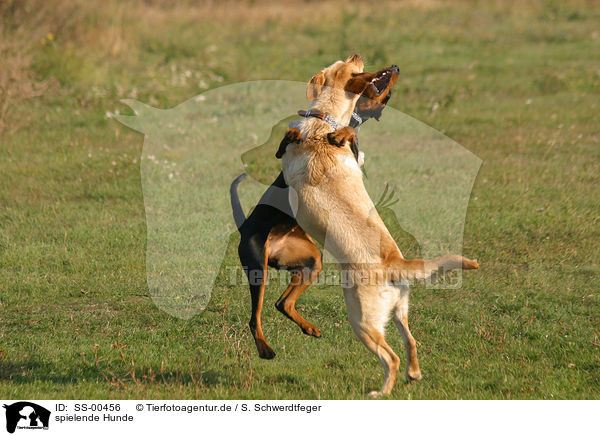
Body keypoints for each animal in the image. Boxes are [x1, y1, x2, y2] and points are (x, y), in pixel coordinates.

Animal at [230, 63, 398, 358]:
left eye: (387, 96)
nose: (396, 67)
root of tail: (244, 228)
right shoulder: (284, 152)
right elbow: (290, 138)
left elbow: (350, 134)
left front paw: (342, 134)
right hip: (257, 269)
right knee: (256, 316)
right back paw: (265, 347)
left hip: (309, 262)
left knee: (281, 304)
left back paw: (306, 329)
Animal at [278, 52, 480, 396]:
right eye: (347, 62)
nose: (357, 53)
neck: (325, 121)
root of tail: (396, 263)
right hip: (399, 311)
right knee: (411, 342)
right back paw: (414, 375)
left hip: (360, 321)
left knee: (392, 357)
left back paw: (382, 392)